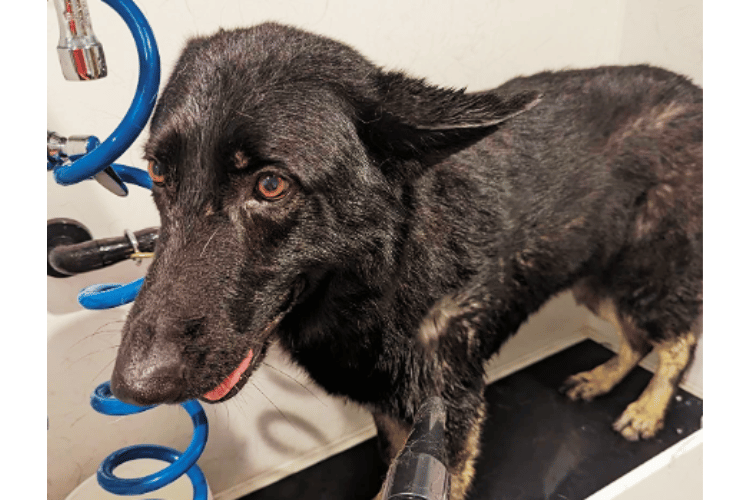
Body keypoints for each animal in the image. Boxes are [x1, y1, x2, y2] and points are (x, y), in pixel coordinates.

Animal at [111, 23, 704, 500]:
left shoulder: (452, 413)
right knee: (636, 339)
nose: (130, 387)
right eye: (158, 174)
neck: (383, 273)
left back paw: (647, 411)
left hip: (645, 277)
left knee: (677, 341)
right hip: (593, 279)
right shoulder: (396, 411)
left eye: (271, 184)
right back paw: (604, 378)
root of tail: (693, 92)